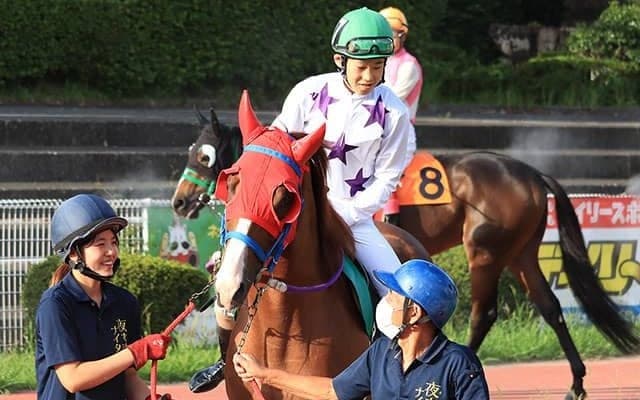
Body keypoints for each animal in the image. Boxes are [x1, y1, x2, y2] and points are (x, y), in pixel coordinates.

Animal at [172, 102, 640, 400]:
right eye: (233, 179)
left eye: (284, 198)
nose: (178, 201)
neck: (287, 325)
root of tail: (529, 172)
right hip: (522, 254)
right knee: (550, 307)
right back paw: (576, 382)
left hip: (486, 252)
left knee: (484, 311)